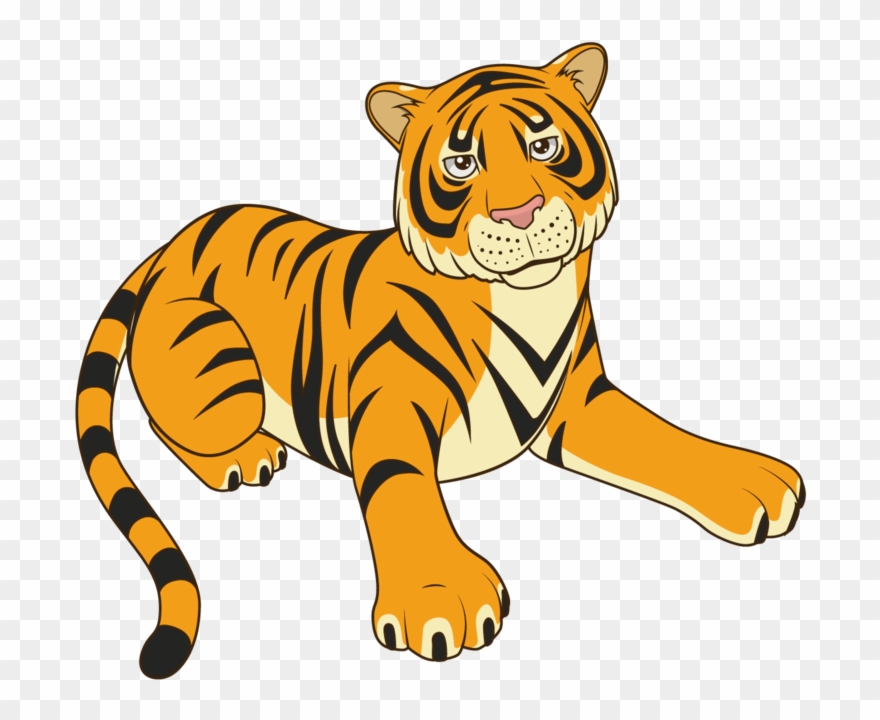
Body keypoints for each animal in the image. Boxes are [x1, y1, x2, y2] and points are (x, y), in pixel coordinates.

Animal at [76, 43, 805, 679]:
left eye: (544, 146)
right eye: (461, 163)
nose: (520, 214)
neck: (527, 300)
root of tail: (171, 241)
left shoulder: (579, 400)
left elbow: (656, 436)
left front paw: (752, 480)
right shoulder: (392, 408)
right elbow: (402, 489)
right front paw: (439, 596)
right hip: (224, 375)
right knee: (167, 424)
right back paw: (243, 456)